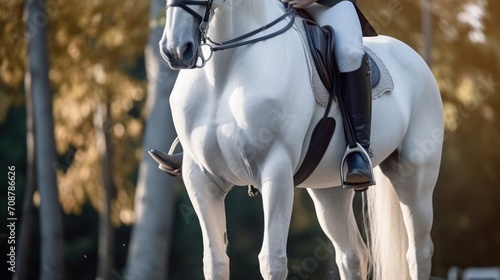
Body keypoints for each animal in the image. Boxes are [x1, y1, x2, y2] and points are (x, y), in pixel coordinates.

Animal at [158, 0, 444, 280]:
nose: (176, 50)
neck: (223, 74)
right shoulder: (201, 177)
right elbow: (215, 262)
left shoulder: (275, 169)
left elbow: (272, 260)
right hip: (329, 189)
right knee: (353, 255)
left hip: (415, 177)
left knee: (418, 253)